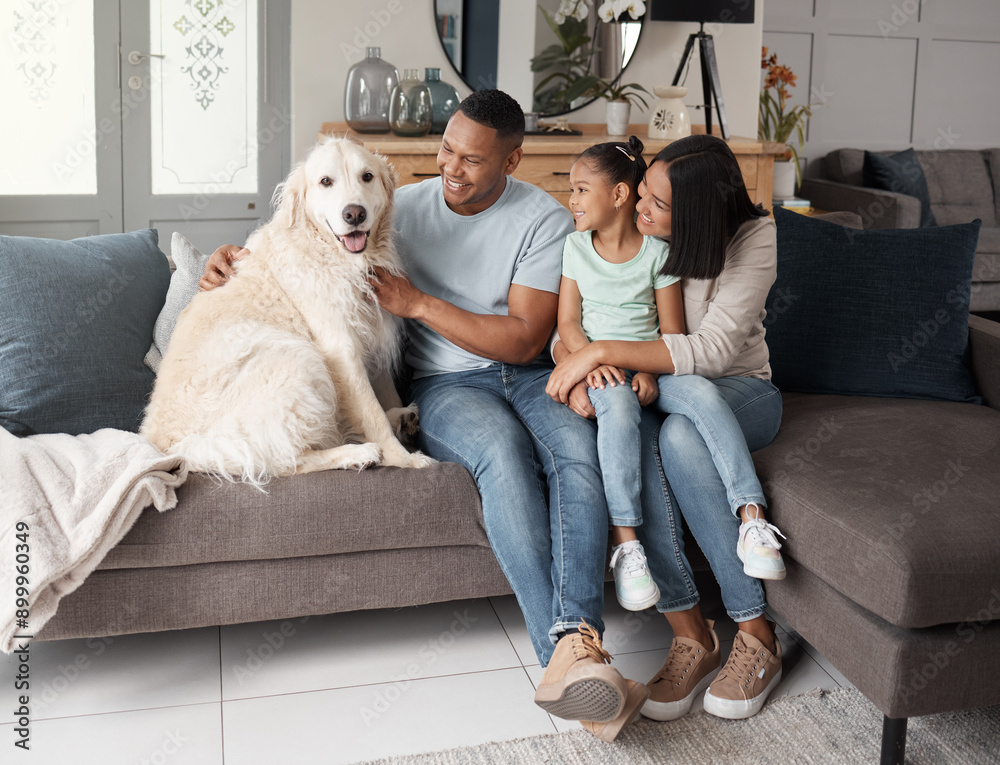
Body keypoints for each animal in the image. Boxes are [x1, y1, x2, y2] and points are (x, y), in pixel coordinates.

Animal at [142, 137, 434, 484]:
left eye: (367, 177)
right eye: (326, 181)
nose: (354, 214)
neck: (332, 254)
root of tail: (170, 448)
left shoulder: (373, 334)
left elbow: (384, 394)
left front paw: (397, 422)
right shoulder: (341, 349)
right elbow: (370, 412)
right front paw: (404, 459)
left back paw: (400, 419)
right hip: (296, 356)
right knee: (285, 459)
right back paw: (357, 454)